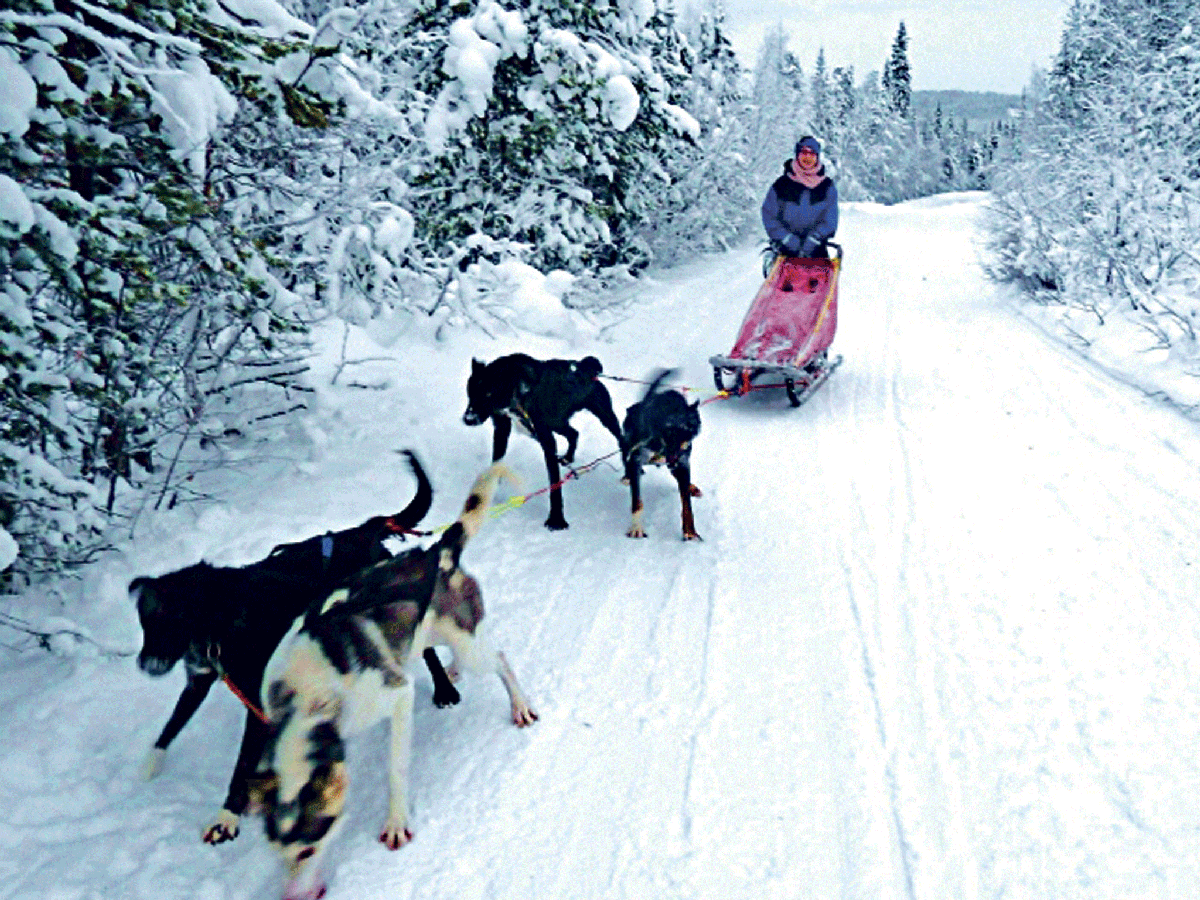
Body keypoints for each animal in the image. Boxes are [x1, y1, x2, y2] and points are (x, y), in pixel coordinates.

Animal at [250, 465, 537, 900]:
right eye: (277, 853)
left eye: (308, 849)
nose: (292, 896)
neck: (308, 695)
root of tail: (436, 553)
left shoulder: (398, 696)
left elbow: (395, 770)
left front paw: (397, 822)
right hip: (433, 633)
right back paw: (453, 672)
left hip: (469, 643)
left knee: (501, 659)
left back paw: (519, 704)